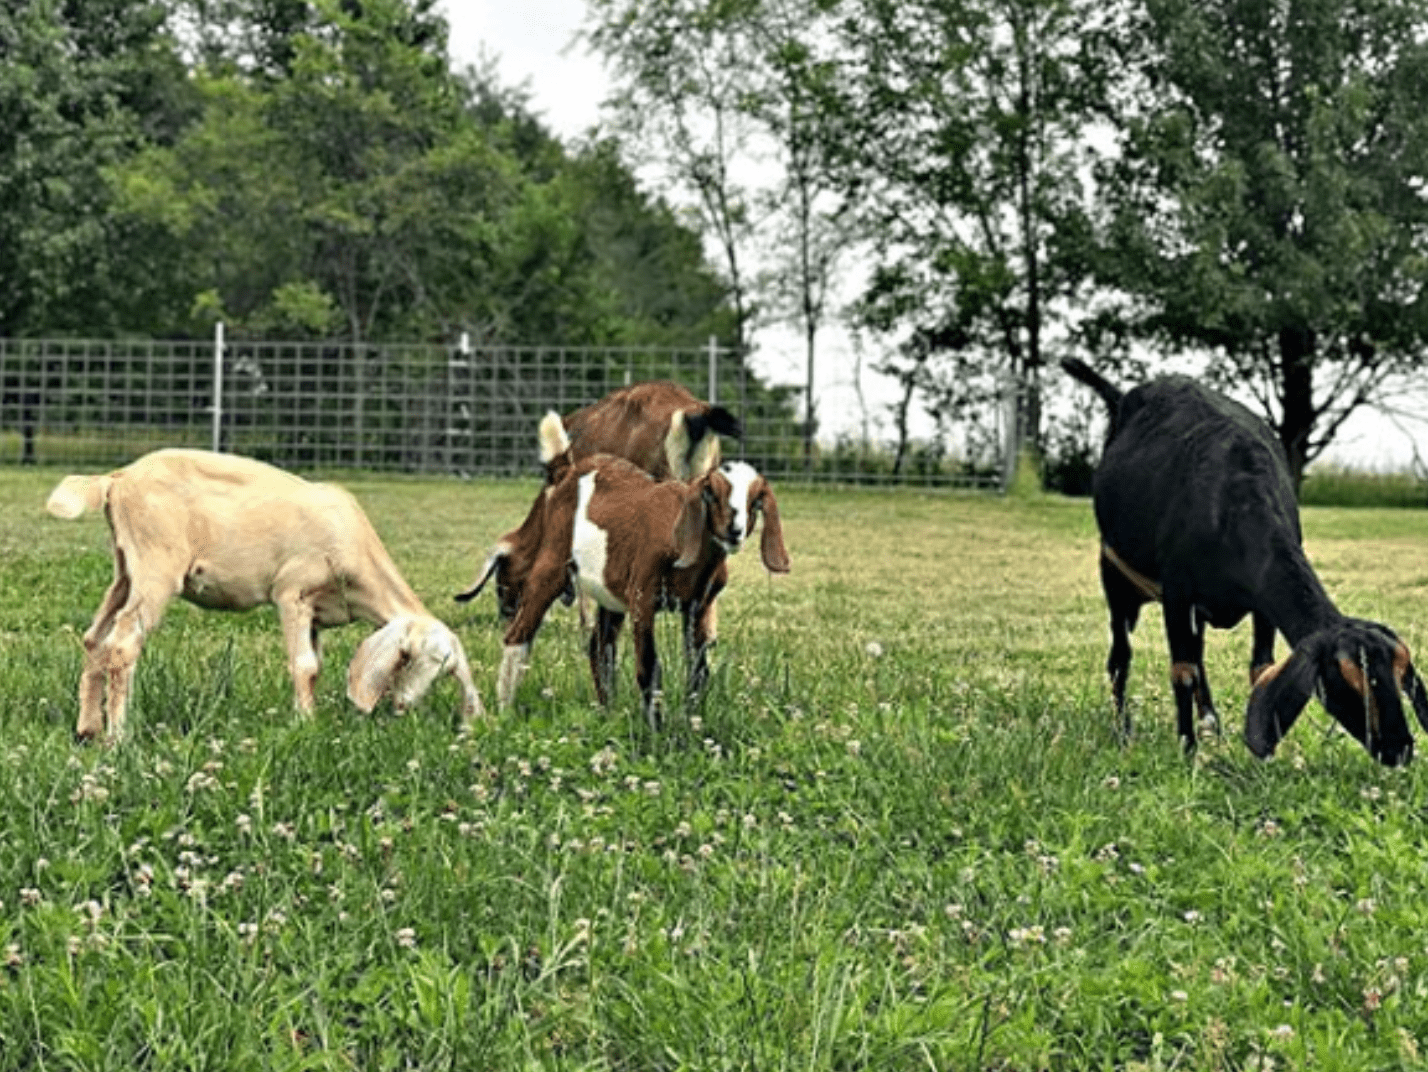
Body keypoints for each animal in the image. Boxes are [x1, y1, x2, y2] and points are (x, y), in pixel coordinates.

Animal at [47, 449, 482, 744]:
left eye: (445, 670)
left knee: (95, 638)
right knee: (123, 644)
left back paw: (87, 729)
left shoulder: (317, 616)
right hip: (156, 566)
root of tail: (116, 479)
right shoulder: (293, 594)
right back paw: (119, 736)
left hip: (126, 568)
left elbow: (316, 667)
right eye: (408, 656)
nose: (404, 707)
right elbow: (304, 666)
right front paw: (305, 724)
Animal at [456, 412, 789, 727]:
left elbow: (698, 672)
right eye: (712, 493)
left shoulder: (700, 606)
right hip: (552, 565)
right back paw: (505, 711)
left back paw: (608, 712)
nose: (734, 531)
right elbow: (649, 668)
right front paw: (656, 733)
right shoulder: (642, 596)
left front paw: (692, 724)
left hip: (610, 592)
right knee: (518, 635)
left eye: (756, 501)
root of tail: (568, 470)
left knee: (599, 647)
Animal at [1062, 357, 1428, 765]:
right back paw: (1124, 730)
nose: (1400, 748)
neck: (1232, 502)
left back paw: (1209, 722)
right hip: (1114, 572)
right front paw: (1187, 749)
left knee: (1195, 650)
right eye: (1346, 681)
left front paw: (1261, 760)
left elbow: (1259, 667)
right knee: (1121, 655)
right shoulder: (1176, 591)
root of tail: (1122, 397)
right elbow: (1182, 670)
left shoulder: (1259, 606)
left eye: (1401, 675)